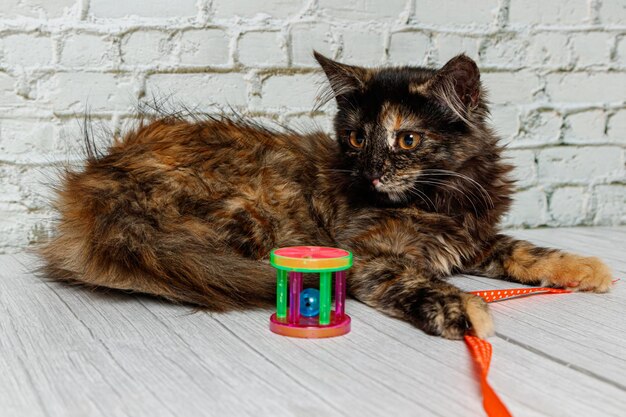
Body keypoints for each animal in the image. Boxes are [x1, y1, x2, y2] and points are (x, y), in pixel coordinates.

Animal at [41, 52, 612, 338]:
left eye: (407, 139)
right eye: (356, 137)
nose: (372, 172)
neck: (438, 196)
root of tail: (97, 185)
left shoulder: (473, 236)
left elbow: (524, 249)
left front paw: (584, 268)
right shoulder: (369, 254)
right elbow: (417, 281)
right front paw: (461, 309)